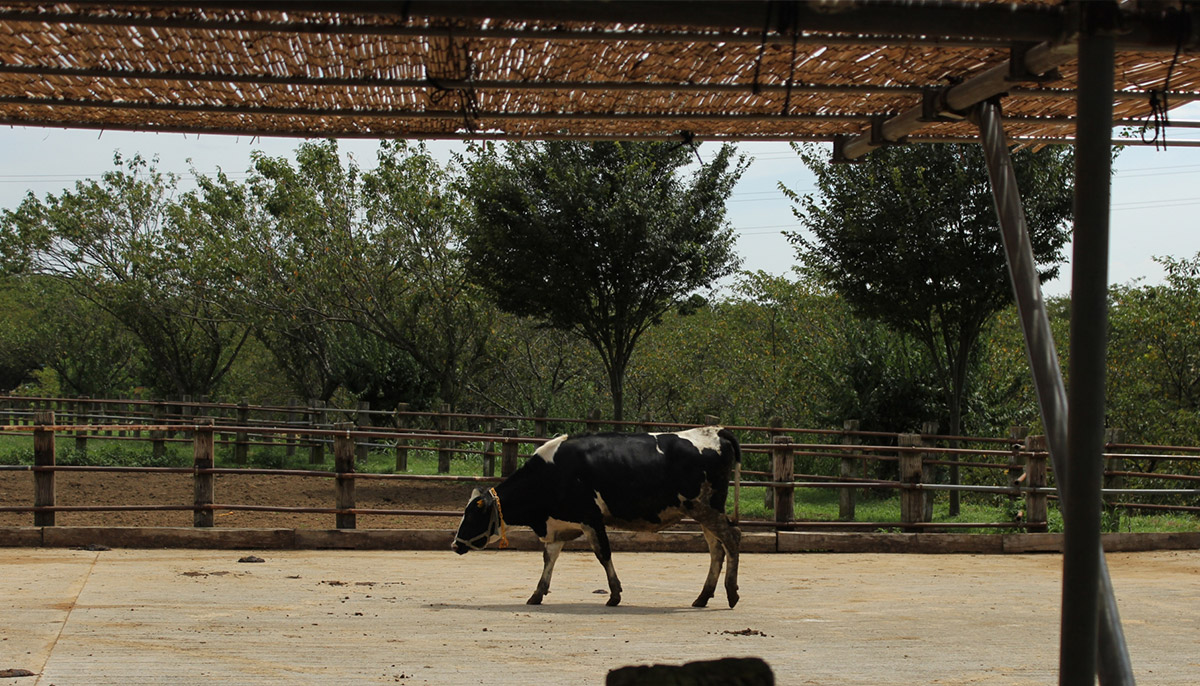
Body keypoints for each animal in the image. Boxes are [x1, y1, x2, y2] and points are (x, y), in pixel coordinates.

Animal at [451, 426, 739, 609]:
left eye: (473, 515)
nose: (454, 544)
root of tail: (716, 431)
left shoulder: (591, 518)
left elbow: (603, 554)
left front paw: (614, 595)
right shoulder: (557, 527)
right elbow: (549, 559)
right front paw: (537, 593)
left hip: (706, 509)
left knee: (732, 540)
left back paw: (731, 593)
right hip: (702, 512)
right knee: (717, 550)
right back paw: (703, 597)